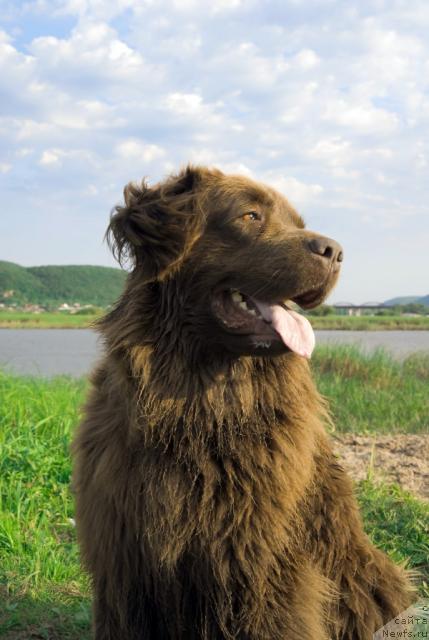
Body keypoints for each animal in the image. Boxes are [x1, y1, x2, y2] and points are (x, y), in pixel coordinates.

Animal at [72, 166, 412, 640]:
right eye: (250, 215)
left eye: (297, 223)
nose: (336, 251)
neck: (201, 409)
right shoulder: (125, 562)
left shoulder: (262, 566)